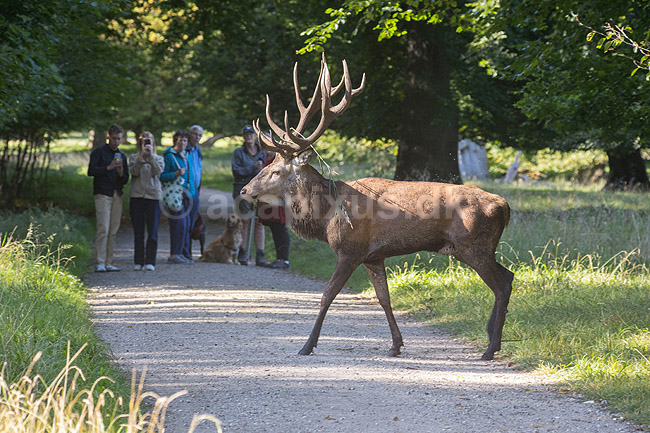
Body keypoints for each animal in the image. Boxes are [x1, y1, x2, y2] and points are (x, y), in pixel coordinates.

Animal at [240, 54, 514, 360]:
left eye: (275, 171)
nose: (244, 190)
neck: (325, 217)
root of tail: (504, 206)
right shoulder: (373, 256)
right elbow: (384, 298)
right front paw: (396, 344)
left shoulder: (351, 249)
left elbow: (326, 296)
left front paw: (307, 346)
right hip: (473, 249)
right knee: (509, 275)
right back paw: (491, 338)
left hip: (474, 246)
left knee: (502, 284)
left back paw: (490, 348)